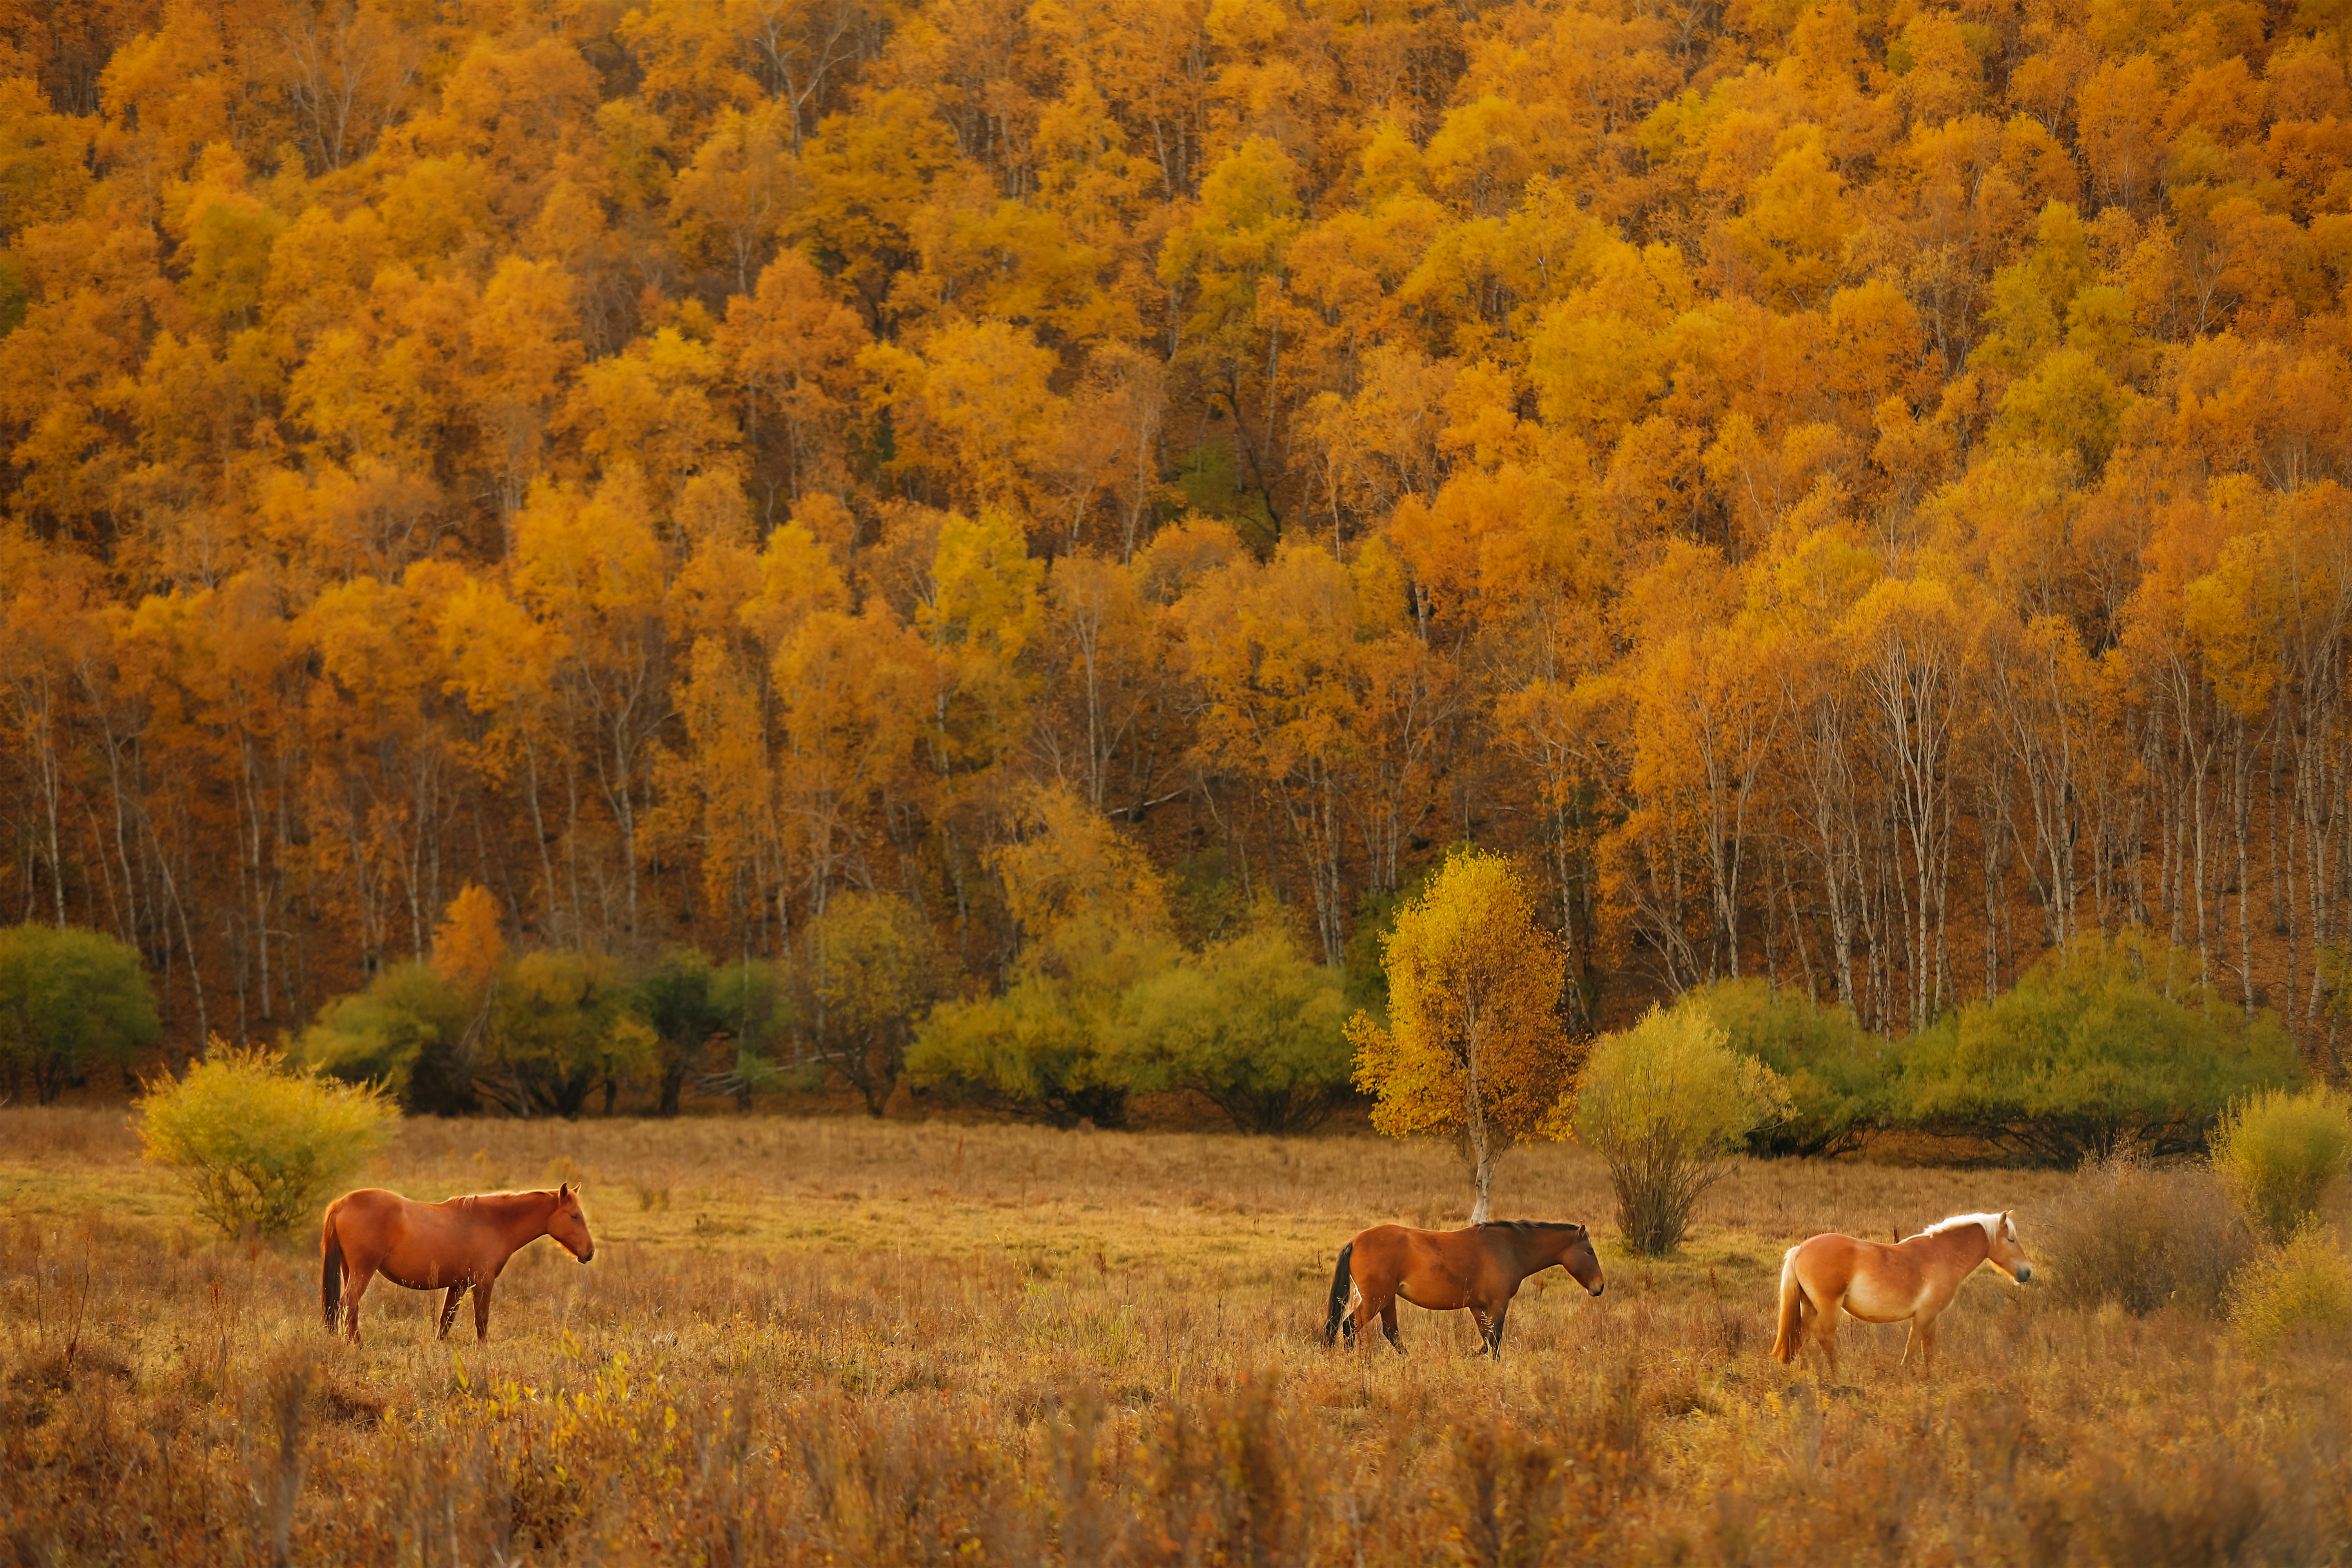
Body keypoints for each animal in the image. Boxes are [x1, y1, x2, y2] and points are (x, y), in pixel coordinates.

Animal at [320, 1185, 597, 1345]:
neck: (493, 1222)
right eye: (575, 1216)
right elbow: (481, 1320)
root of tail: (342, 1203)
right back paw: (356, 1343)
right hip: (362, 1272)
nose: (590, 1252)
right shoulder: (483, 1283)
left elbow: (446, 1321)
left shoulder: (458, 1286)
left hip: (349, 1270)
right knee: (349, 1303)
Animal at [1327, 1222, 1599, 1354]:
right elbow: (1495, 1340)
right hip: (1377, 1299)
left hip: (1387, 1299)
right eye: (1589, 1251)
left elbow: (1488, 1340)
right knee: (1350, 1326)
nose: (1600, 1286)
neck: (1509, 1248)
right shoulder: (1498, 1303)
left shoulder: (1479, 1306)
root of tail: (1355, 1241)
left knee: (1391, 1332)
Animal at [1769, 1213, 2032, 1382]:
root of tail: (1801, 1248)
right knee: (1825, 1338)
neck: (1943, 1254)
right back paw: (1836, 1378)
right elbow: (1913, 1346)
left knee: (1801, 1335)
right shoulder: (1924, 1315)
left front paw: (1929, 1379)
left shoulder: (1932, 1317)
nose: (2027, 1272)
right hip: (1828, 1308)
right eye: (2011, 1240)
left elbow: (1928, 1349)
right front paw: (1905, 1377)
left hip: (1810, 1307)